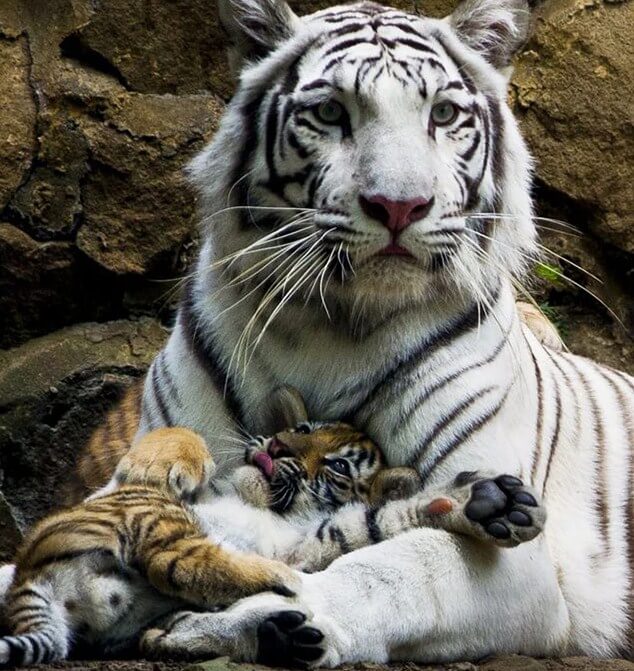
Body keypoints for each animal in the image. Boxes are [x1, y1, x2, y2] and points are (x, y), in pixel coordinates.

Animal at [0, 390, 547, 667]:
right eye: (303, 430)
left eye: (338, 466)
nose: (280, 445)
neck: (257, 503)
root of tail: (39, 579)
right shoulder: (108, 495)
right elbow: (181, 434)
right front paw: (160, 462)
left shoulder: (306, 544)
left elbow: (368, 520)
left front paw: (488, 505)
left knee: (178, 571)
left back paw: (277, 633)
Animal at [54, 0, 633, 666]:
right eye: (331, 112)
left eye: (442, 114)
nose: (400, 206)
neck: (333, 325)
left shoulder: (518, 563)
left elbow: (386, 573)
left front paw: (238, 621)